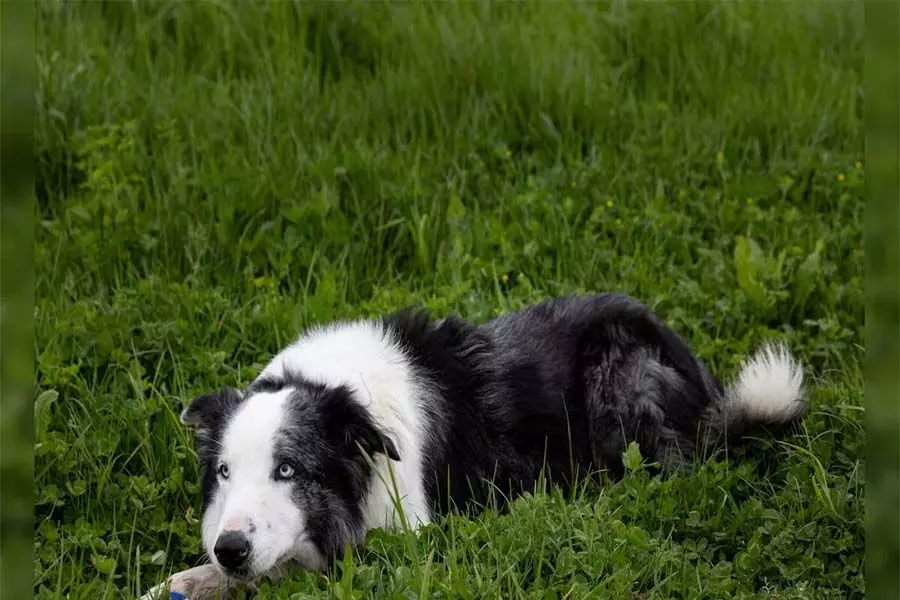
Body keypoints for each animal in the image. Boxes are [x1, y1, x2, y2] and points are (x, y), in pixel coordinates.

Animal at [142, 294, 808, 600]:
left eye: (287, 469)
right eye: (224, 472)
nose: (229, 548)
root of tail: (706, 386)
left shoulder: (406, 545)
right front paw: (184, 581)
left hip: (619, 382)